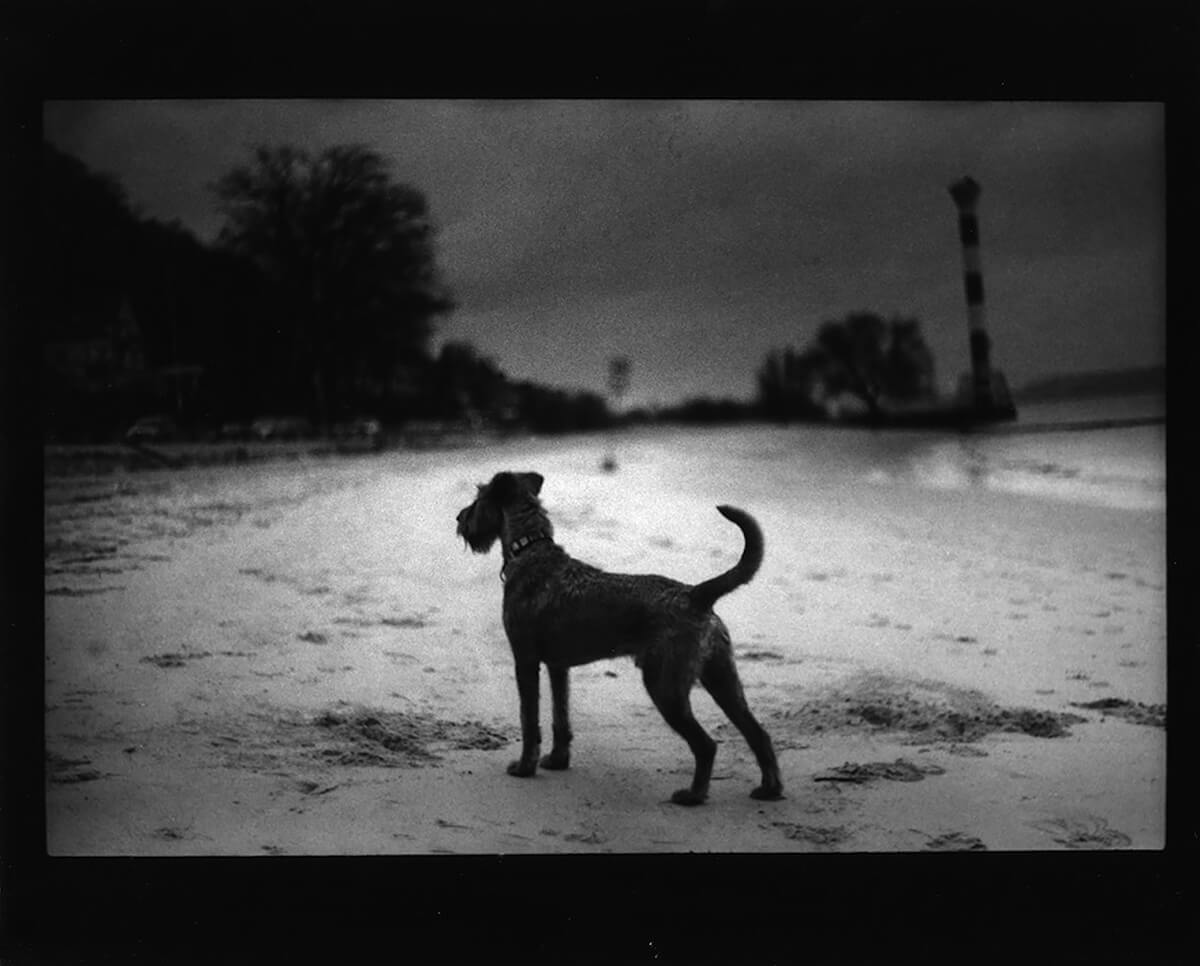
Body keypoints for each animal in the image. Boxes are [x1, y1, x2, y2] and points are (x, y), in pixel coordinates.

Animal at [453, 470, 782, 801]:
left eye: (478, 498)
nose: (459, 518)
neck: (531, 550)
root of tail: (695, 595)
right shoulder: (558, 667)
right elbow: (560, 717)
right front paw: (558, 760)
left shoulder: (525, 660)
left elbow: (529, 720)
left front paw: (524, 767)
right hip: (721, 678)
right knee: (758, 733)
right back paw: (770, 788)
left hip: (665, 686)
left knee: (706, 744)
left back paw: (693, 796)